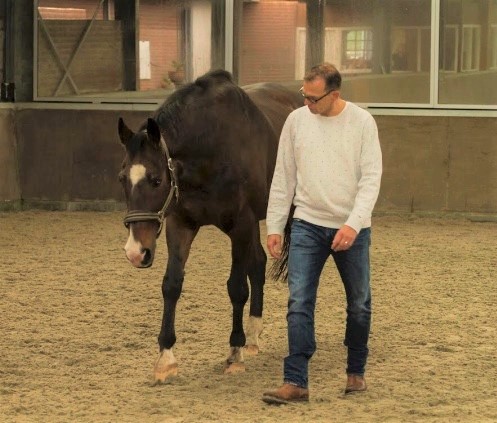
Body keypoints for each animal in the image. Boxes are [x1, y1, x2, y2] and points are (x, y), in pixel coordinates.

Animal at [118, 70, 300, 384]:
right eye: (122, 178)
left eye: (156, 179)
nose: (135, 252)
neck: (210, 149)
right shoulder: (181, 224)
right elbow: (172, 285)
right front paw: (166, 357)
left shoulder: (240, 224)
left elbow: (237, 287)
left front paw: (235, 352)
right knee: (258, 263)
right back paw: (254, 335)